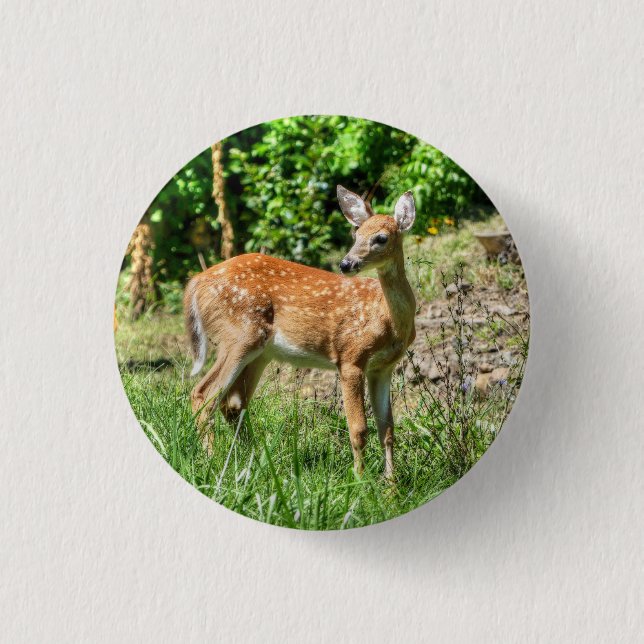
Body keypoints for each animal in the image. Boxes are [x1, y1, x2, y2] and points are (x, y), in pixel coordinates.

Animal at [184, 186, 417, 478]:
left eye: (381, 238)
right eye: (356, 234)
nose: (346, 264)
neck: (386, 319)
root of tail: (195, 283)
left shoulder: (383, 367)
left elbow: (387, 429)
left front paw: (391, 483)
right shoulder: (350, 357)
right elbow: (359, 429)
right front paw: (361, 481)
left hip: (260, 353)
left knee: (233, 402)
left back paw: (252, 460)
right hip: (238, 335)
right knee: (204, 394)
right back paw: (213, 463)